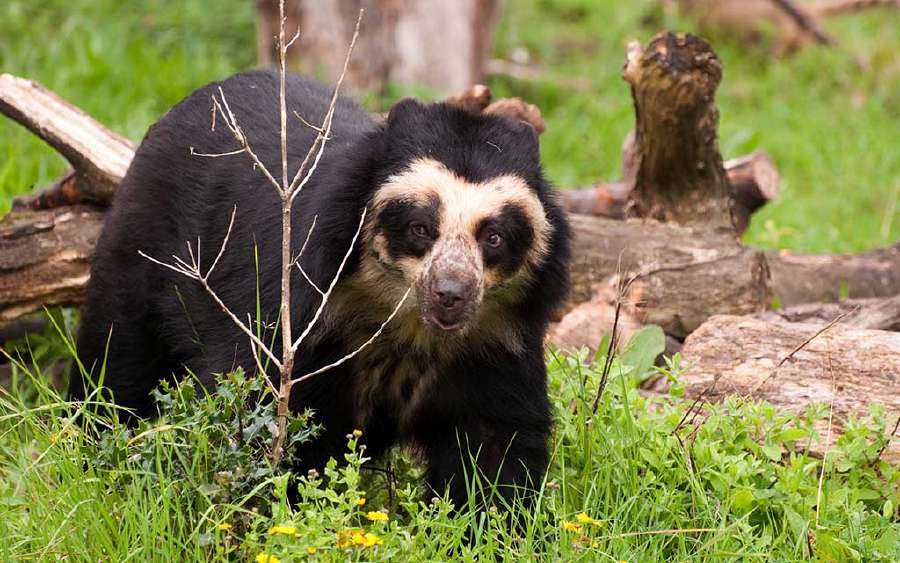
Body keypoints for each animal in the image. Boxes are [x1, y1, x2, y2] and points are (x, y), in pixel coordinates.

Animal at [70, 69, 571, 507]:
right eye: (420, 227)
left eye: (494, 236)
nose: (451, 294)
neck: (403, 319)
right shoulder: (302, 311)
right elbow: (263, 407)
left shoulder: (496, 338)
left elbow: (496, 441)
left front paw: (487, 525)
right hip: (143, 249)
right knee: (119, 358)